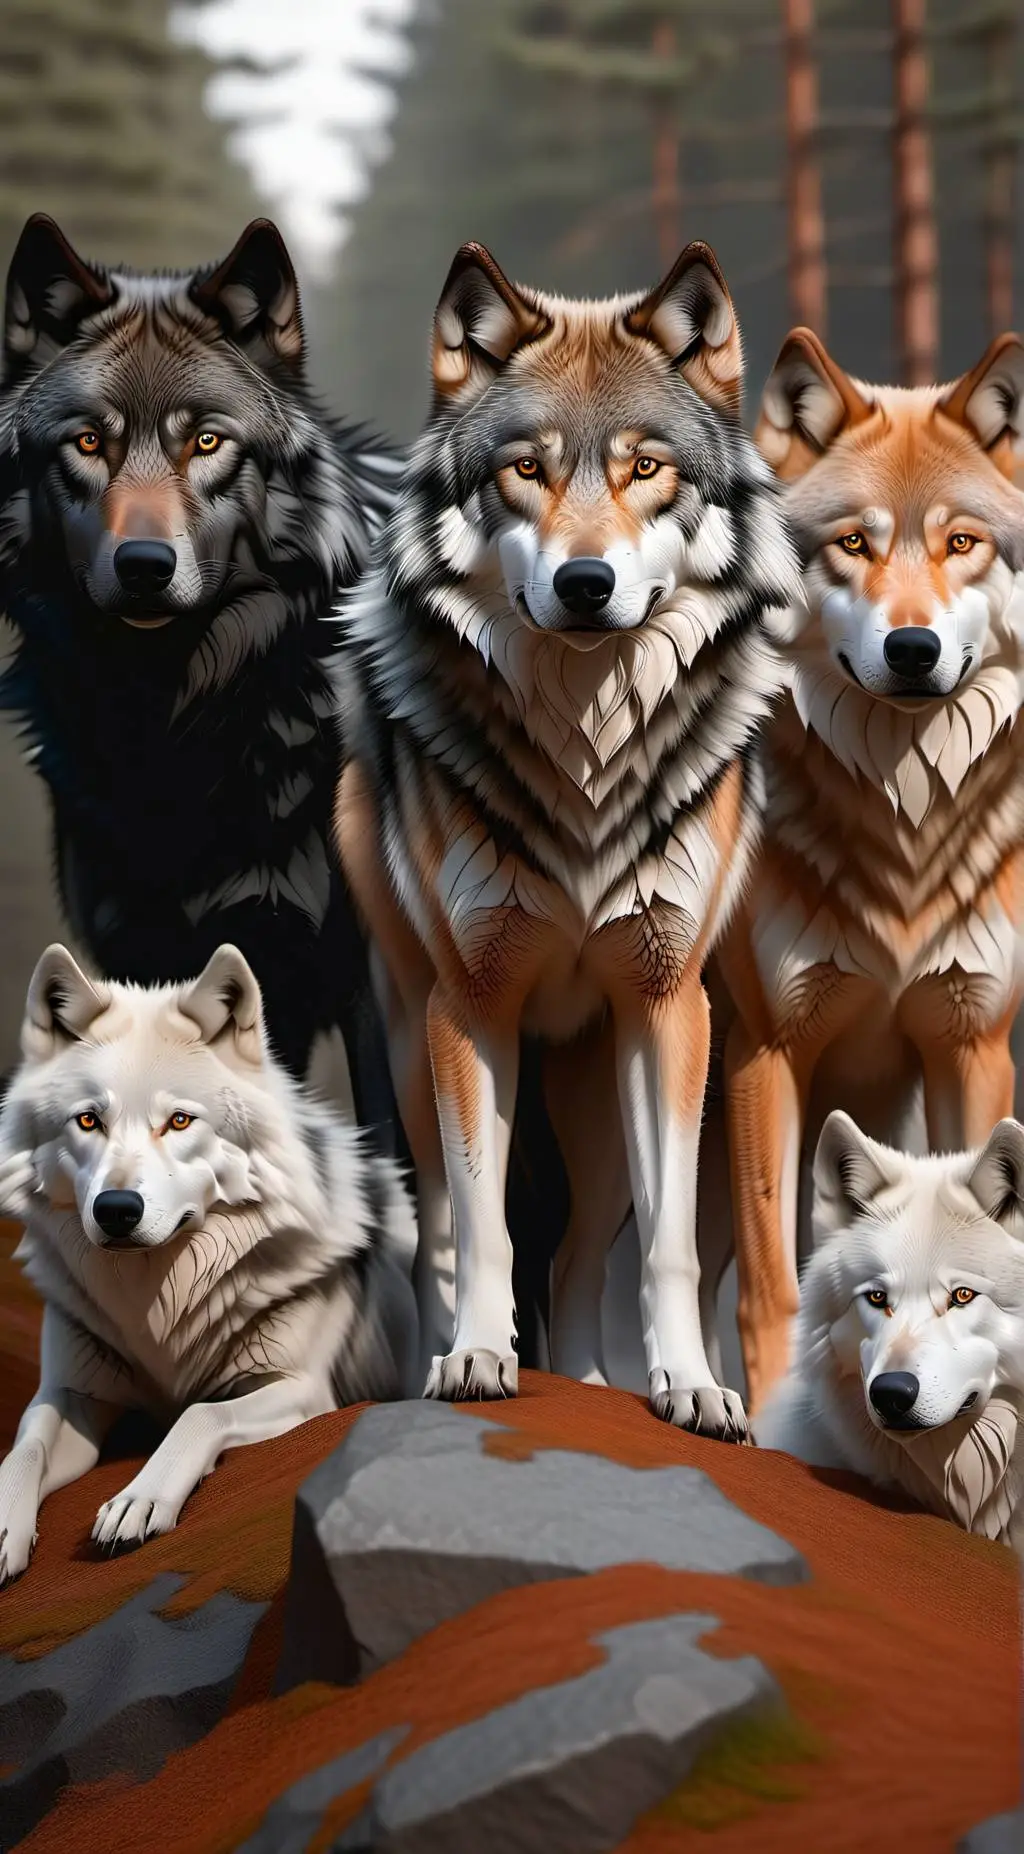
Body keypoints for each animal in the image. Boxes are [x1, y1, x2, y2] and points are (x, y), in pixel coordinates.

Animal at [0, 941, 417, 1584]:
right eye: (89, 1120)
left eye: (179, 1121)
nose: (116, 1209)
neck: (156, 1309)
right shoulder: (70, 1393)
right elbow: (24, 1451)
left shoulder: (304, 1390)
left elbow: (200, 1412)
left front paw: (139, 1499)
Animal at [335, 239, 799, 1436]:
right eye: (525, 473)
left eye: (646, 472)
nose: (586, 584)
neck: (583, 754)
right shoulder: (471, 1010)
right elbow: (482, 1228)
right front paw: (475, 1361)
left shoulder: (669, 1010)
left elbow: (671, 1247)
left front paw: (693, 1385)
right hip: (409, 1050)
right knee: (442, 1230)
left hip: (594, 1107)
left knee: (583, 1257)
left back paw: (594, 1387)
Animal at [716, 327, 1024, 1413]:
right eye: (853, 544)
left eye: (960, 544)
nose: (913, 646)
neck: (903, 825)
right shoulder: (767, 1050)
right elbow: (773, 1279)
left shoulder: (972, 1045)